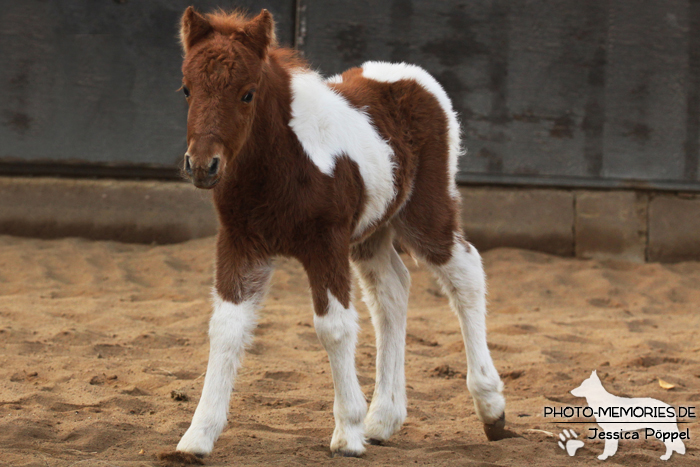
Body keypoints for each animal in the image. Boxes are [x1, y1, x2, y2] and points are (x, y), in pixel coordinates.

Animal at [173, 6, 506, 460]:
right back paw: (383, 420)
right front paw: (197, 436)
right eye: (187, 90)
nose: (203, 166)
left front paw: (347, 432)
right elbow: (226, 326)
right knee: (392, 289)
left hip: (425, 210)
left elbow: (333, 326)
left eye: (247, 93)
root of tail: (414, 76)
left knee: (465, 272)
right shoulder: (241, 243)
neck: (282, 163)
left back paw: (491, 408)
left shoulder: (325, 243)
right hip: (370, 233)